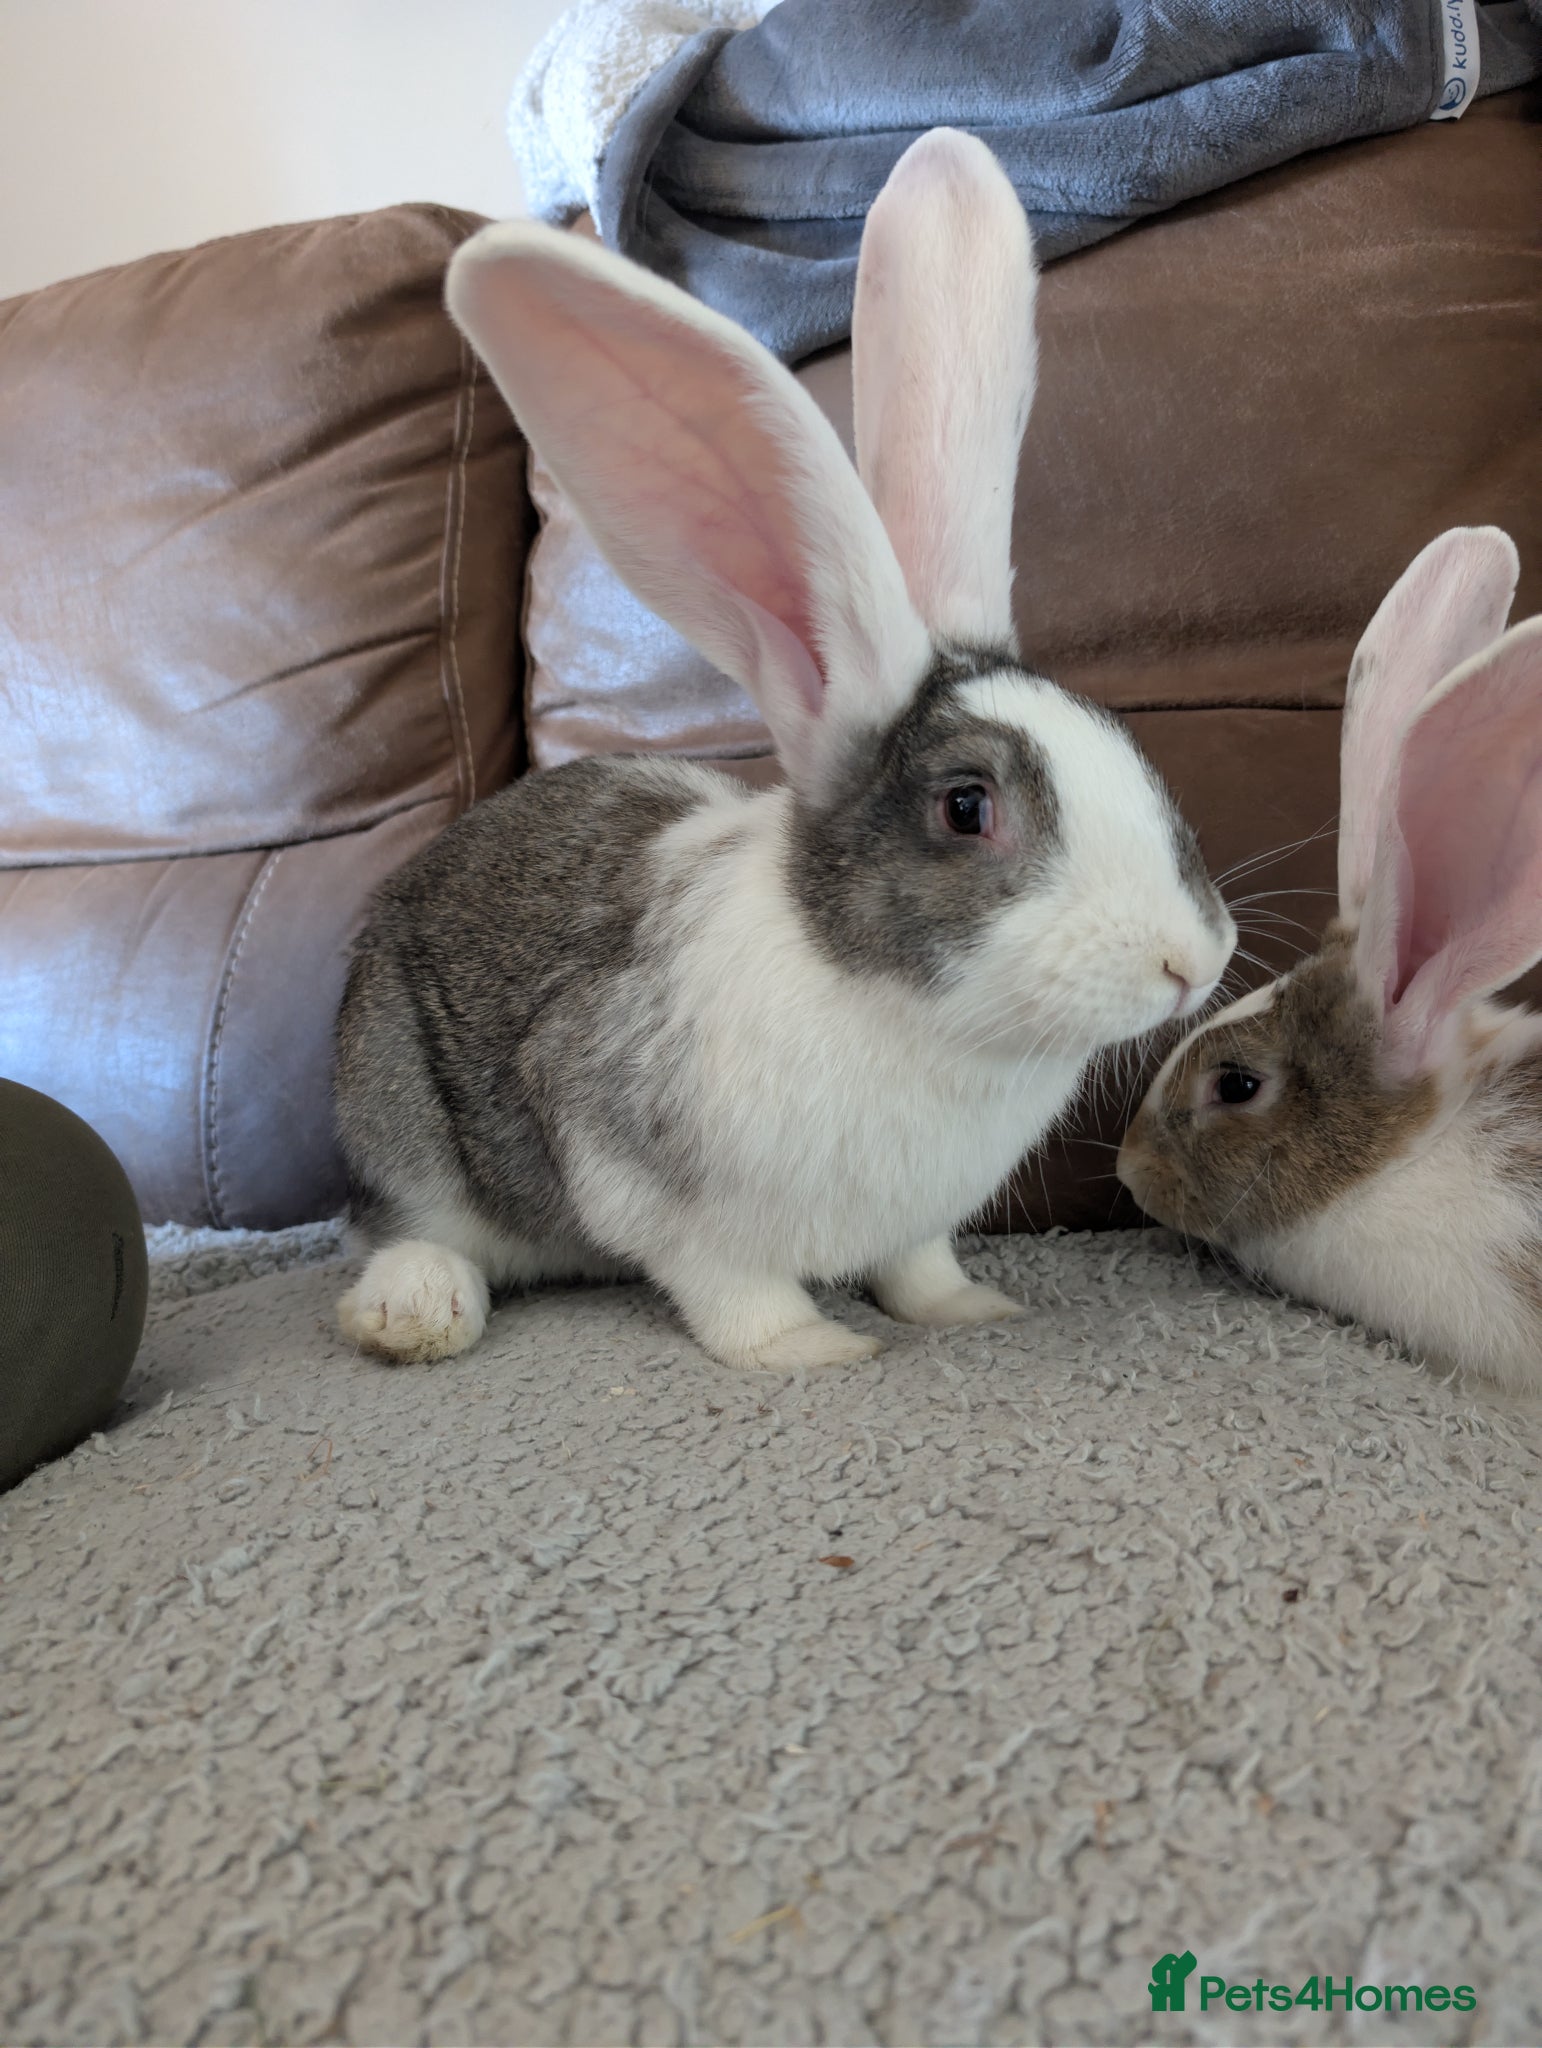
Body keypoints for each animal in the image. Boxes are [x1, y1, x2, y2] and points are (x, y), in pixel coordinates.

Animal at [333, 127, 1236, 1373]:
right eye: (967, 805)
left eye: (1125, 741)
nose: (1190, 960)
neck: (901, 1012)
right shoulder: (646, 1180)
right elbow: (734, 1291)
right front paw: (817, 1351)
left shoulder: (915, 1222)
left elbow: (919, 1266)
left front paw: (969, 1311)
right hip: (398, 1104)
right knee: (399, 1221)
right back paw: (414, 1309)